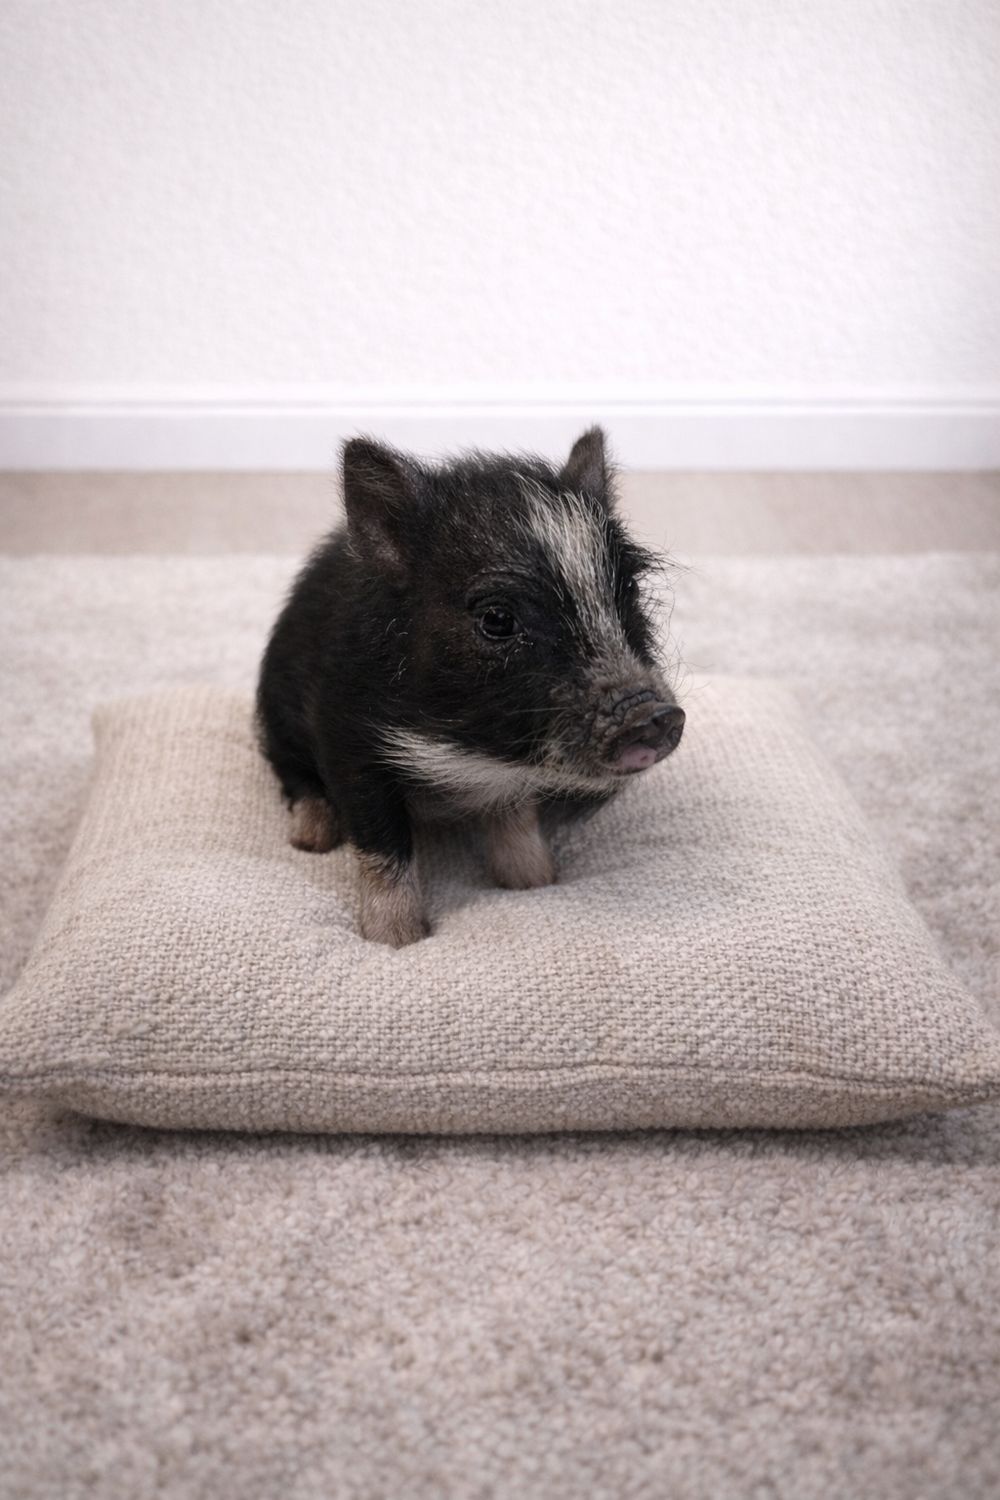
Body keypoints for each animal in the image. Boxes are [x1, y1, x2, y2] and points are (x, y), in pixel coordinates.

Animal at [255, 427, 684, 946]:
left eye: (630, 592)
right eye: (497, 618)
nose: (654, 714)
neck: (471, 748)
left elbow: (516, 820)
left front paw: (537, 882)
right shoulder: (347, 738)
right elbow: (382, 842)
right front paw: (396, 940)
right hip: (277, 713)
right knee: (291, 774)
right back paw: (312, 838)